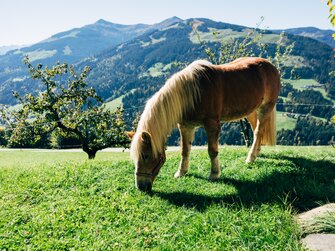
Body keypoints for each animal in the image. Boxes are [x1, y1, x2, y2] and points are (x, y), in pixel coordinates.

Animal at [129, 56, 280, 191]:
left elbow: (212, 151)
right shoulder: (186, 126)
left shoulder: (212, 124)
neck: (192, 94)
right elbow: (185, 150)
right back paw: (257, 152)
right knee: (257, 131)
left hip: (266, 107)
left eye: (145, 155)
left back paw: (251, 157)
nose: (141, 187)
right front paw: (181, 172)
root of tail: (270, 66)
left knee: (258, 131)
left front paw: (214, 174)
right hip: (252, 111)